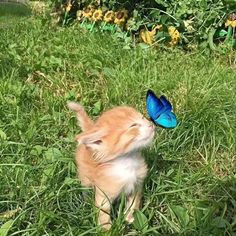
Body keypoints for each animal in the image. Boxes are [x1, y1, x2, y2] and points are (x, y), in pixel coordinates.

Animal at [67, 102, 155, 230]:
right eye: (133, 125)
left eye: (143, 118)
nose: (151, 124)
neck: (128, 162)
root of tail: (90, 129)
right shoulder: (103, 195)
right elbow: (103, 212)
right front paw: (107, 229)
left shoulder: (136, 186)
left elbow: (133, 203)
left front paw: (130, 217)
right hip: (84, 176)